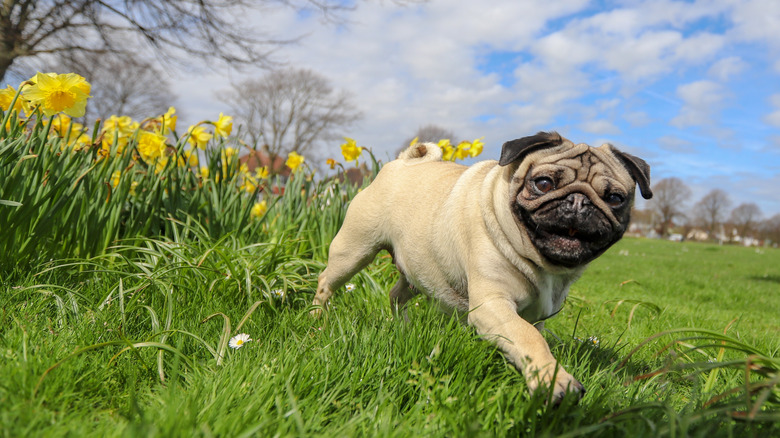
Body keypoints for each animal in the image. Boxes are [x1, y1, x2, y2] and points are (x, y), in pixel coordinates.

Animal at [310, 131, 652, 404]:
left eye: (615, 198)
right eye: (543, 183)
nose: (579, 201)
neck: (545, 267)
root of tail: (404, 162)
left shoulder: (535, 315)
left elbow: (531, 334)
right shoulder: (492, 305)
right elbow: (528, 337)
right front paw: (554, 381)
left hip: (419, 269)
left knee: (396, 293)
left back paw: (402, 326)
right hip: (354, 250)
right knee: (326, 281)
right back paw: (317, 320)